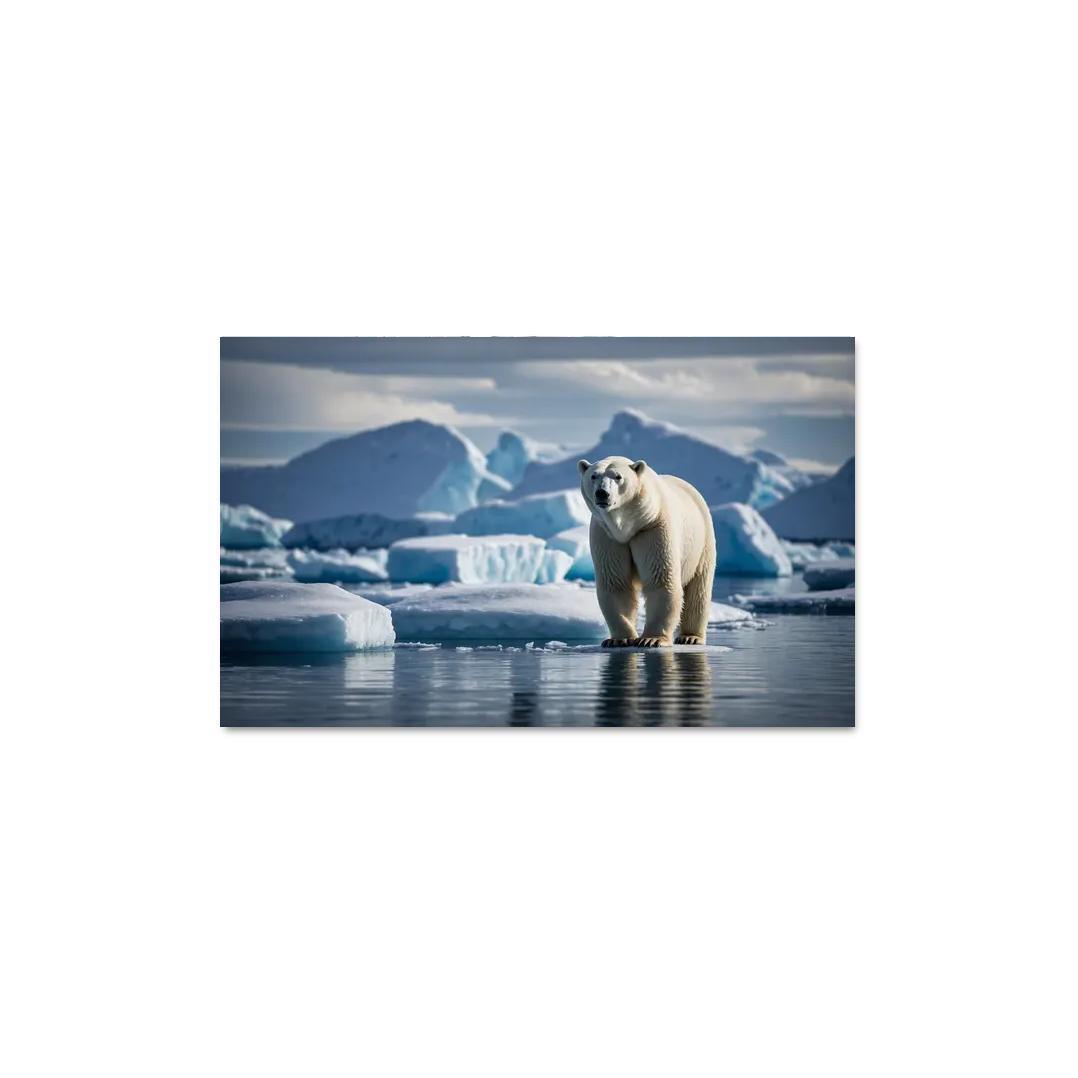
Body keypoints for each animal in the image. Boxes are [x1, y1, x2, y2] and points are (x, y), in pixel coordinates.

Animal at [578, 456, 716, 648]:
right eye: (593, 476)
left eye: (618, 476)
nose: (602, 493)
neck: (628, 525)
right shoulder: (607, 535)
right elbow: (616, 583)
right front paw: (619, 639)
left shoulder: (652, 527)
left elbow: (660, 579)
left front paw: (651, 639)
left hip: (702, 542)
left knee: (698, 589)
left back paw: (691, 637)